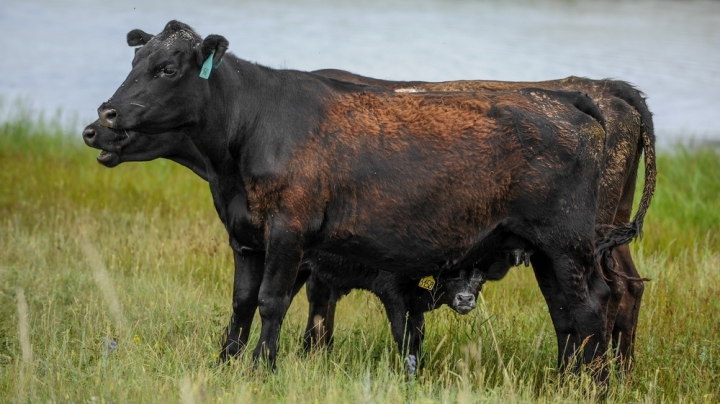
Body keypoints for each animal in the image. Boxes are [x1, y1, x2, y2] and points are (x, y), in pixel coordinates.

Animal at [94, 19, 624, 378]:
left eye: (166, 68)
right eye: (135, 63)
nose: (106, 114)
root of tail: (563, 100)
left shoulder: (288, 230)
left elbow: (271, 301)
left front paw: (262, 368)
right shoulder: (245, 236)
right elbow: (242, 302)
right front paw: (224, 363)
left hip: (567, 244)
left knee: (591, 306)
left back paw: (589, 384)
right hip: (542, 250)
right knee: (564, 311)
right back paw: (565, 379)